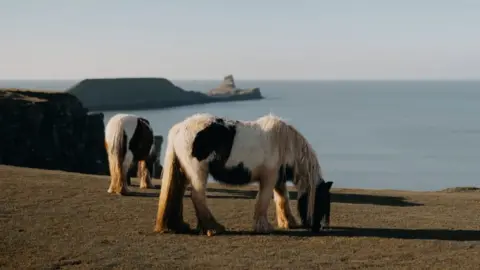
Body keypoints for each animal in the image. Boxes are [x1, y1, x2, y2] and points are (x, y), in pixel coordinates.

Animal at [155, 113, 334, 235]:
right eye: (321, 200)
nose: (318, 227)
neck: (282, 144)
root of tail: (179, 128)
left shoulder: (278, 179)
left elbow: (282, 199)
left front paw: (288, 222)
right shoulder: (268, 179)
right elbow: (263, 201)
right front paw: (263, 227)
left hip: (184, 173)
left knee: (178, 193)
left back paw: (180, 226)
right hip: (198, 172)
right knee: (197, 197)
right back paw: (213, 228)